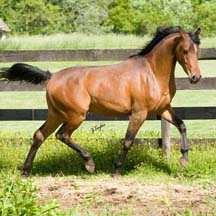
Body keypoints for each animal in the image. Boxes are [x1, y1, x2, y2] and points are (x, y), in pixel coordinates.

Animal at [0, 26, 202, 176]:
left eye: (197, 51)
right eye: (185, 50)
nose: (196, 77)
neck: (151, 72)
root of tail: (52, 76)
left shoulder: (163, 109)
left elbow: (182, 125)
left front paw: (184, 160)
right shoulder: (139, 113)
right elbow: (128, 140)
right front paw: (116, 170)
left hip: (56, 114)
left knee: (39, 135)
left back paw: (26, 171)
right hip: (76, 115)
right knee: (62, 135)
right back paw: (89, 163)